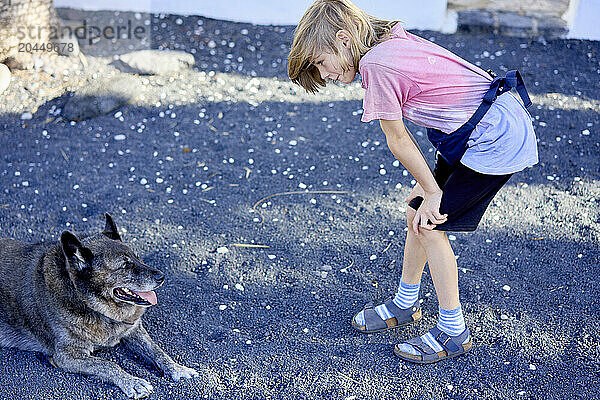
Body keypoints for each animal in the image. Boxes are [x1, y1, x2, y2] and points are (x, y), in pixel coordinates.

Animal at [0, 212, 200, 396]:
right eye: (124, 266)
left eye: (137, 258)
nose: (161, 277)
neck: (88, 302)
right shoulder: (67, 356)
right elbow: (108, 364)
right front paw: (132, 382)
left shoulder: (133, 329)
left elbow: (157, 351)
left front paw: (178, 369)